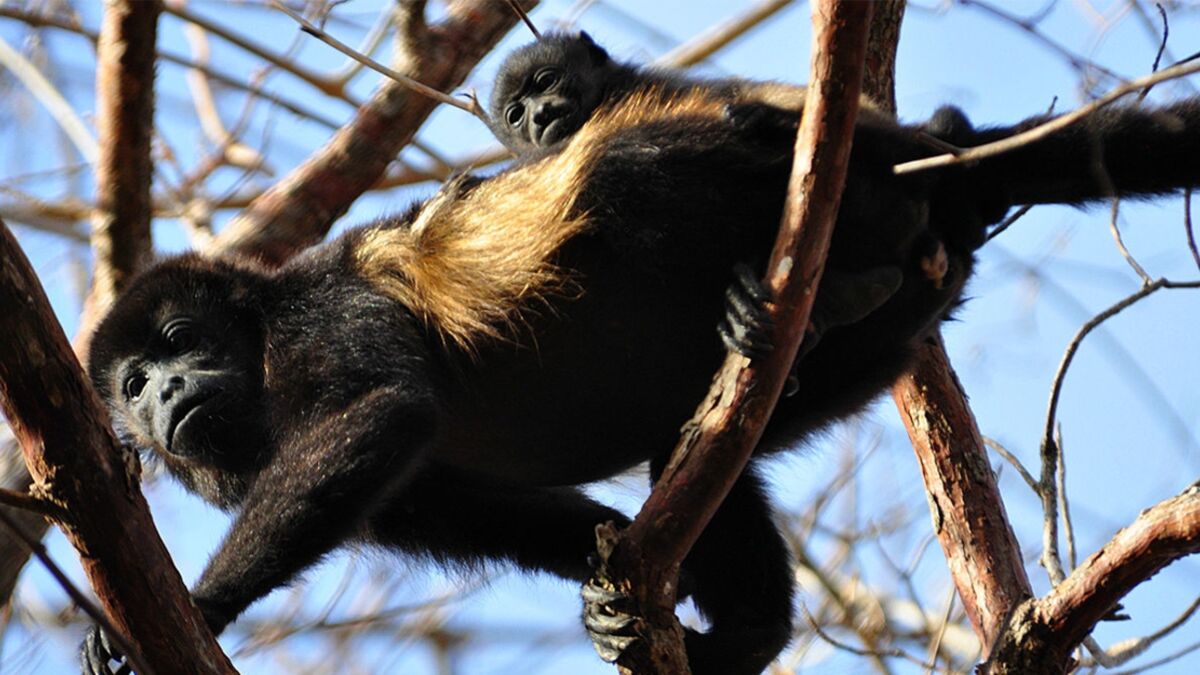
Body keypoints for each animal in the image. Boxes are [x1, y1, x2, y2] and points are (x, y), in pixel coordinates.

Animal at [79, 84, 1200, 672]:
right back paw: (744, 631)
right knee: (697, 453)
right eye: (131, 382)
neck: (260, 346)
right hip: (893, 337)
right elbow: (488, 511)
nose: (165, 397)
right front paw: (613, 572)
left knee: (628, 168)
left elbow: (379, 413)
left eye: (180, 340)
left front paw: (194, 604)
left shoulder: (326, 312)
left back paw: (849, 248)